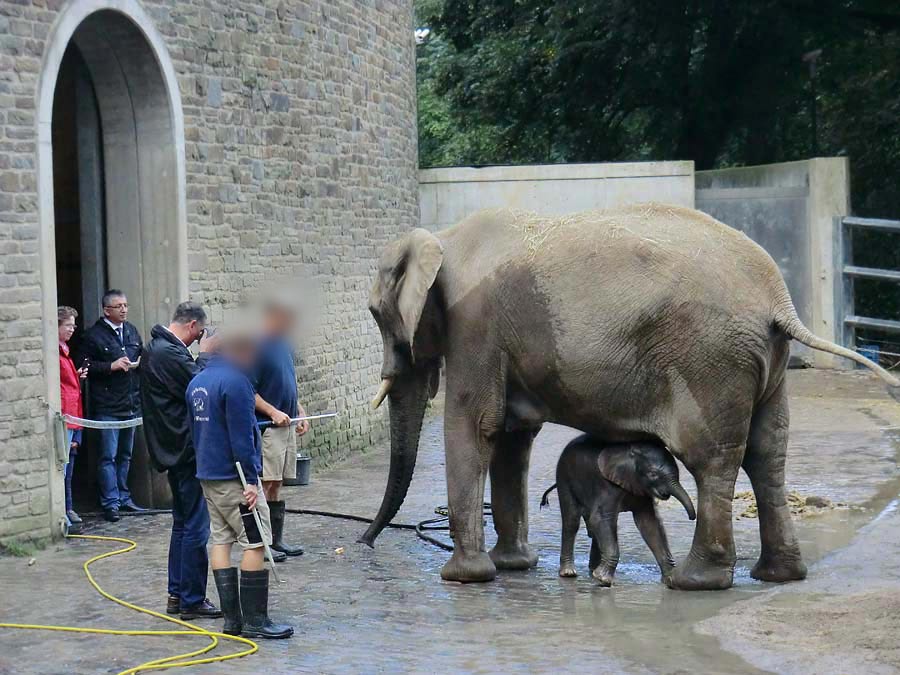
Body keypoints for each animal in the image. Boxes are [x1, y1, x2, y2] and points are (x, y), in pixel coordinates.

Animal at [540, 438, 696, 588]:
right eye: (652, 474)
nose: (692, 517)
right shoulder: (608, 486)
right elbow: (600, 519)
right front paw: (603, 580)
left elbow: (650, 524)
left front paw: (670, 579)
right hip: (564, 476)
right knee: (572, 521)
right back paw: (569, 573)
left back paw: (592, 571)